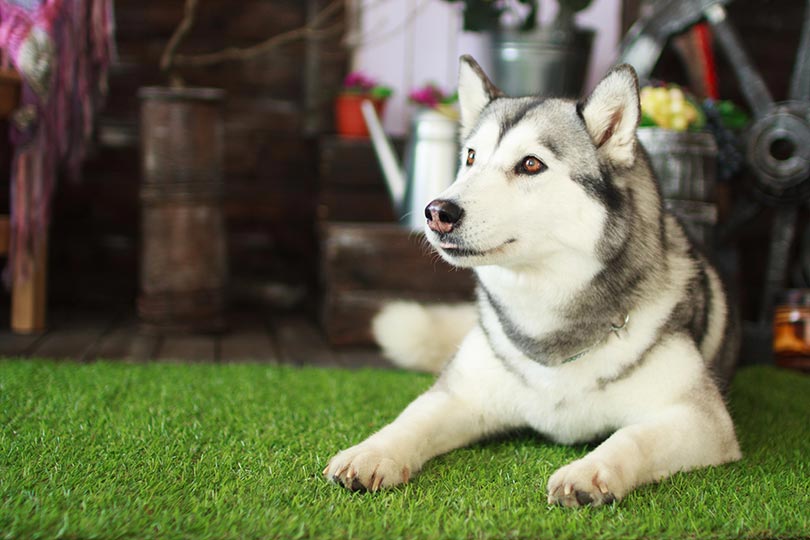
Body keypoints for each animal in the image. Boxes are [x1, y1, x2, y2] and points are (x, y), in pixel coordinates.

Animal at [322, 56, 740, 506]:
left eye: (530, 164)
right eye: (471, 157)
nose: (436, 212)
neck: (545, 318)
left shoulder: (702, 420)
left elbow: (632, 438)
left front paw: (589, 472)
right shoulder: (459, 395)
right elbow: (411, 419)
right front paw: (371, 452)